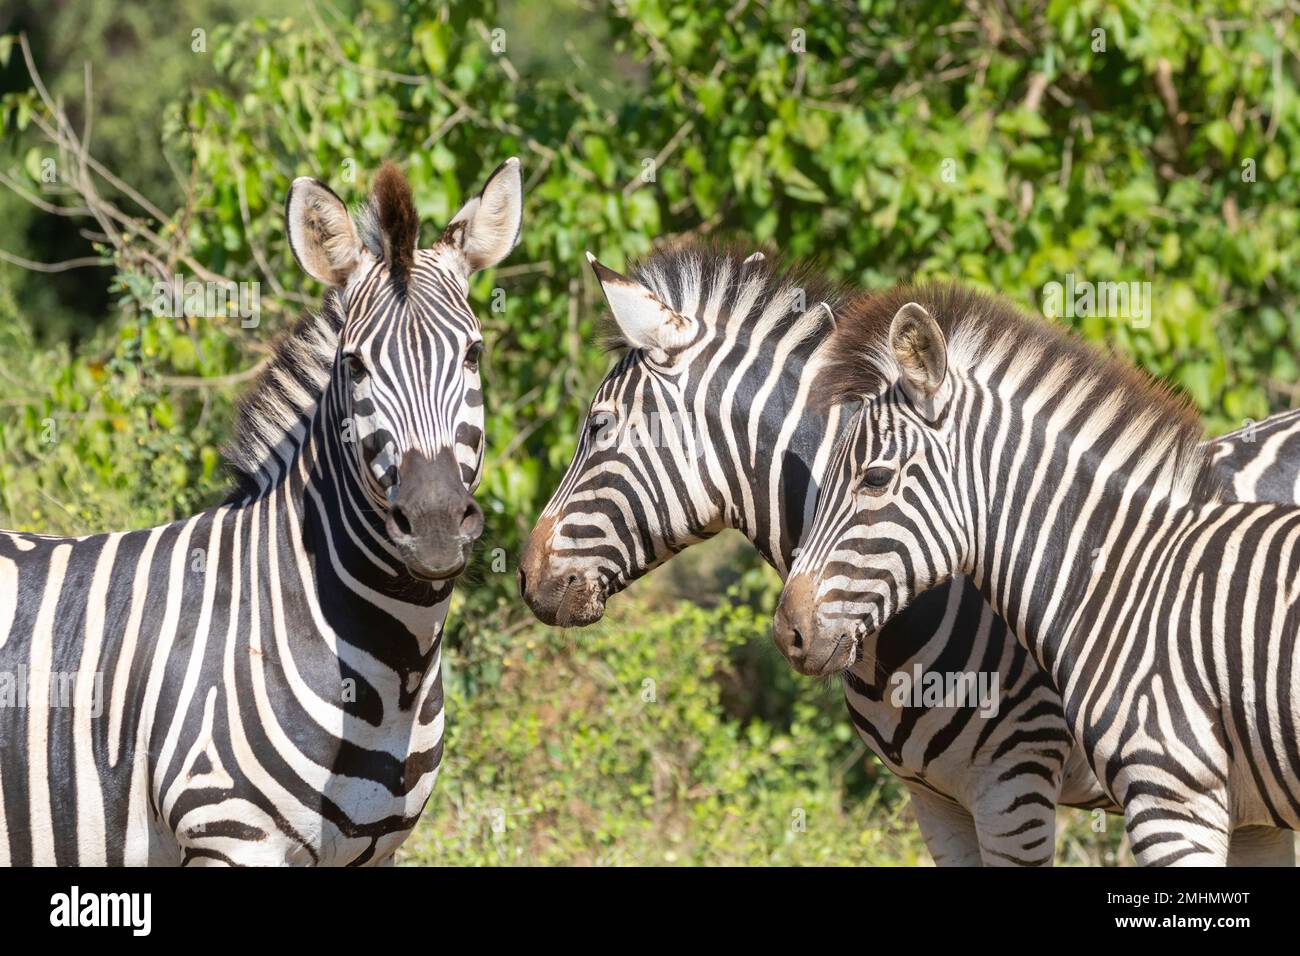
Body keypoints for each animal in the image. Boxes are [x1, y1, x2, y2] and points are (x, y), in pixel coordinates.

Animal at [0, 157, 523, 865]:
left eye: (473, 355)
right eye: (355, 366)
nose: (436, 526)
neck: (396, 679)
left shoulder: (378, 850)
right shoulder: (228, 833)